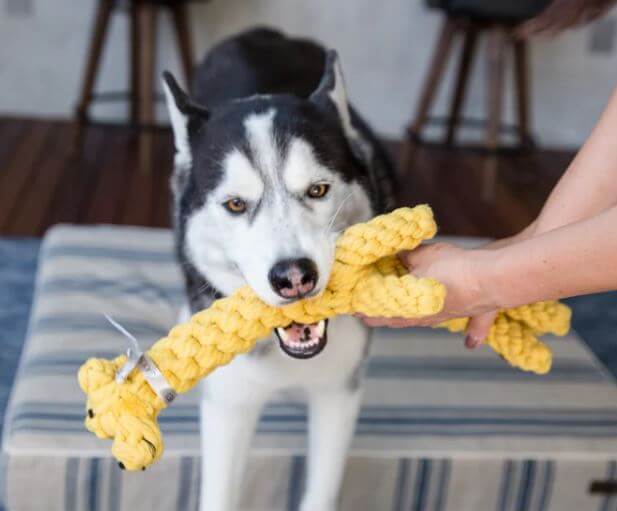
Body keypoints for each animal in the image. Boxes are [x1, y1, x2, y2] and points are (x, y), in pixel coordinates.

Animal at [164, 29, 394, 511]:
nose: (293, 277)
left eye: (318, 189)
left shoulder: (337, 394)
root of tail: (261, 34)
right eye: (235, 204)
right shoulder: (228, 405)